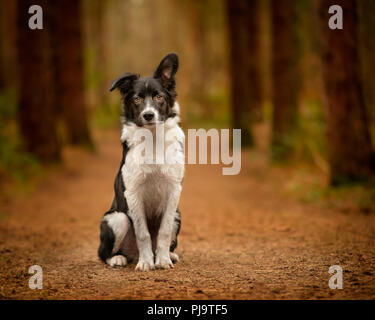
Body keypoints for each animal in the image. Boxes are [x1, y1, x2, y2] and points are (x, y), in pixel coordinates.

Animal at [97, 53, 184, 272]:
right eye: (137, 99)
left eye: (158, 97)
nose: (148, 114)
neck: (152, 138)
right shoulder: (133, 192)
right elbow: (142, 233)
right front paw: (146, 262)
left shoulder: (173, 189)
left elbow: (163, 231)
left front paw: (162, 260)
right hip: (116, 218)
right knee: (103, 253)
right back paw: (118, 259)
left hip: (177, 215)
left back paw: (168, 254)